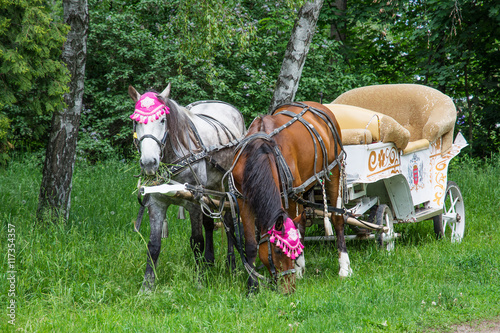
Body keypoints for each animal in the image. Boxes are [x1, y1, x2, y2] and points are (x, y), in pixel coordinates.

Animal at [129, 83, 246, 290]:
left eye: (162, 120)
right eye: (137, 121)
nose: (149, 162)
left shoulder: (193, 204)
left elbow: (197, 242)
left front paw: (199, 282)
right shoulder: (156, 203)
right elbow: (153, 245)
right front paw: (147, 286)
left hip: (224, 186)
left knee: (229, 220)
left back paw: (231, 264)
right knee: (210, 222)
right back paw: (210, 262)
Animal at [229, 101, 350, 294]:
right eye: (278, 251)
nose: (289, 290)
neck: (259, 153)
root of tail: (316, 104)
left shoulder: (291, 197)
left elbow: (295, 229)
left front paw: (298, 266)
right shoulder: (243, 200)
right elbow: (251, 245)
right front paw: (253, 286)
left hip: (335, 170)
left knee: (337, 218)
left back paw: (343, 266)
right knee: (304, 219)